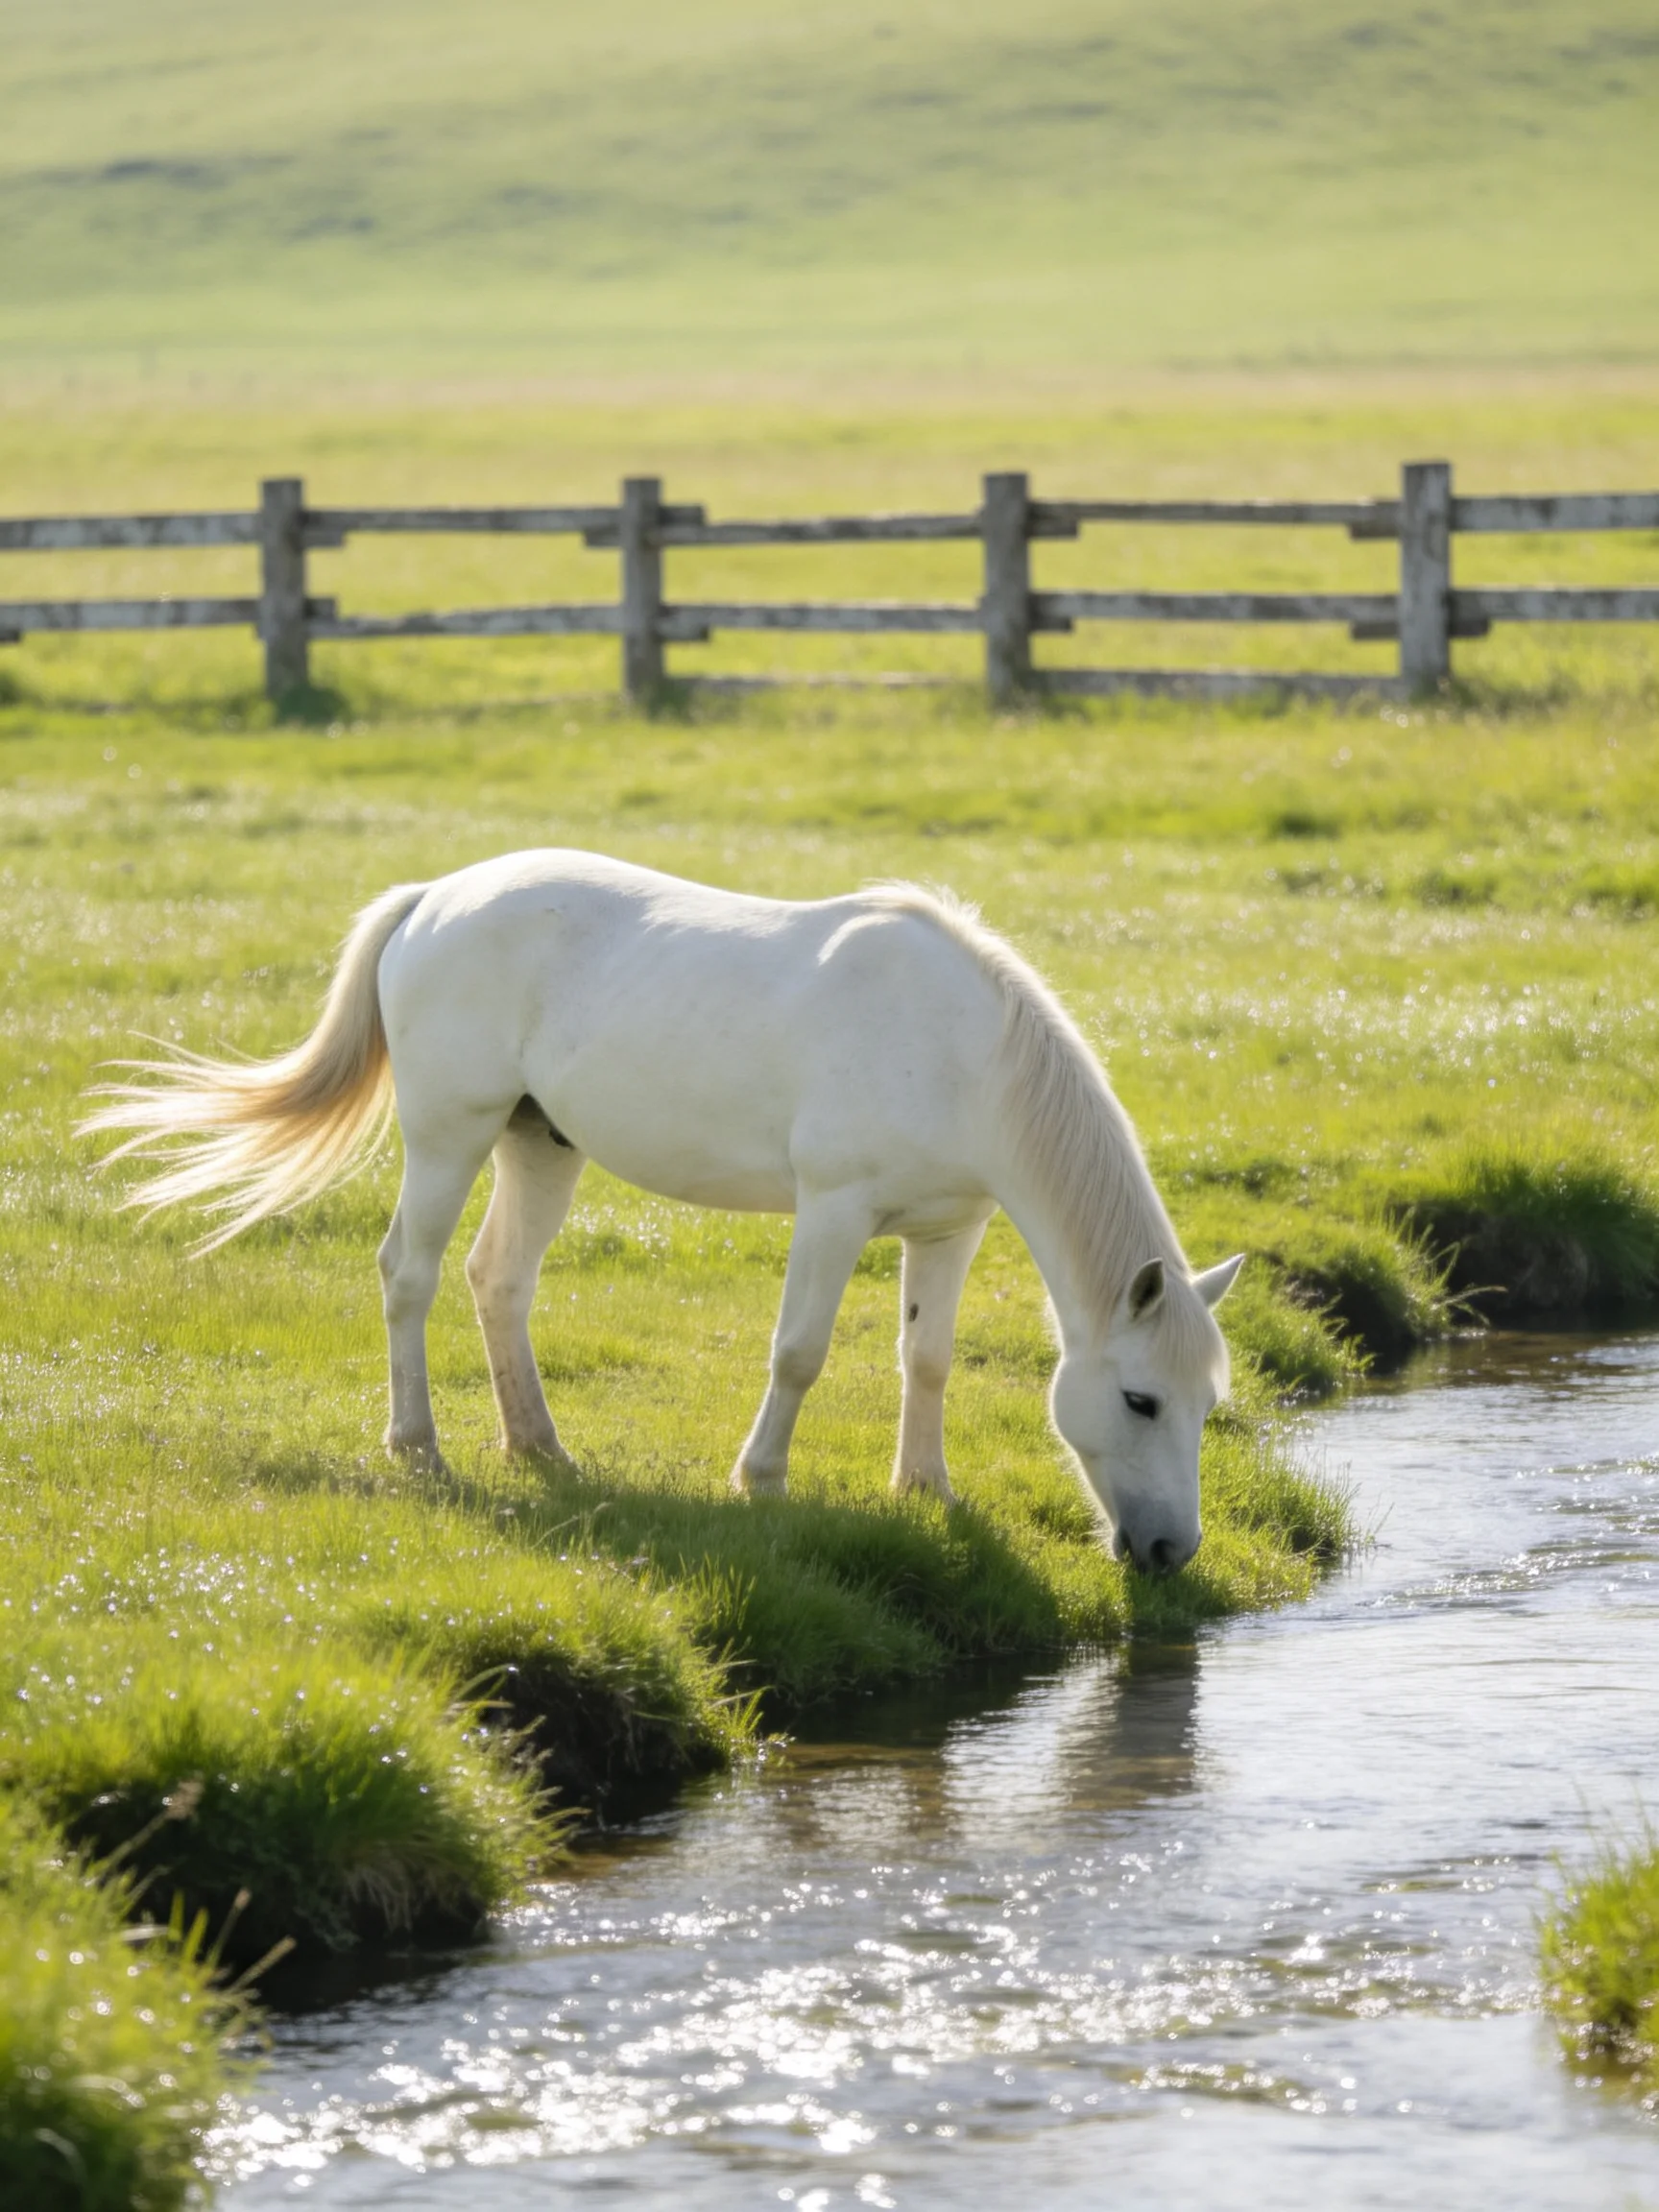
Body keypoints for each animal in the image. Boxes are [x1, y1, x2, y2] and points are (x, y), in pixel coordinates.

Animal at [83, 851, 1242, 1572]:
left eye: (1206, 1406)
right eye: (1141, 1400)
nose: (1170, 1552)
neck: (966, 1052)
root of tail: (432, 900)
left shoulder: (949, 1228)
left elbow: (928, 1358)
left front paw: (927, 1492)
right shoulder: (834, 1210)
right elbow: (799, 1353)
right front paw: (760, 1482)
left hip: (538, 1144)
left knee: (499, 1280)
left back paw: (540, 1448)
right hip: (452, 1133)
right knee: (408, 1274)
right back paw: (420, 1448)